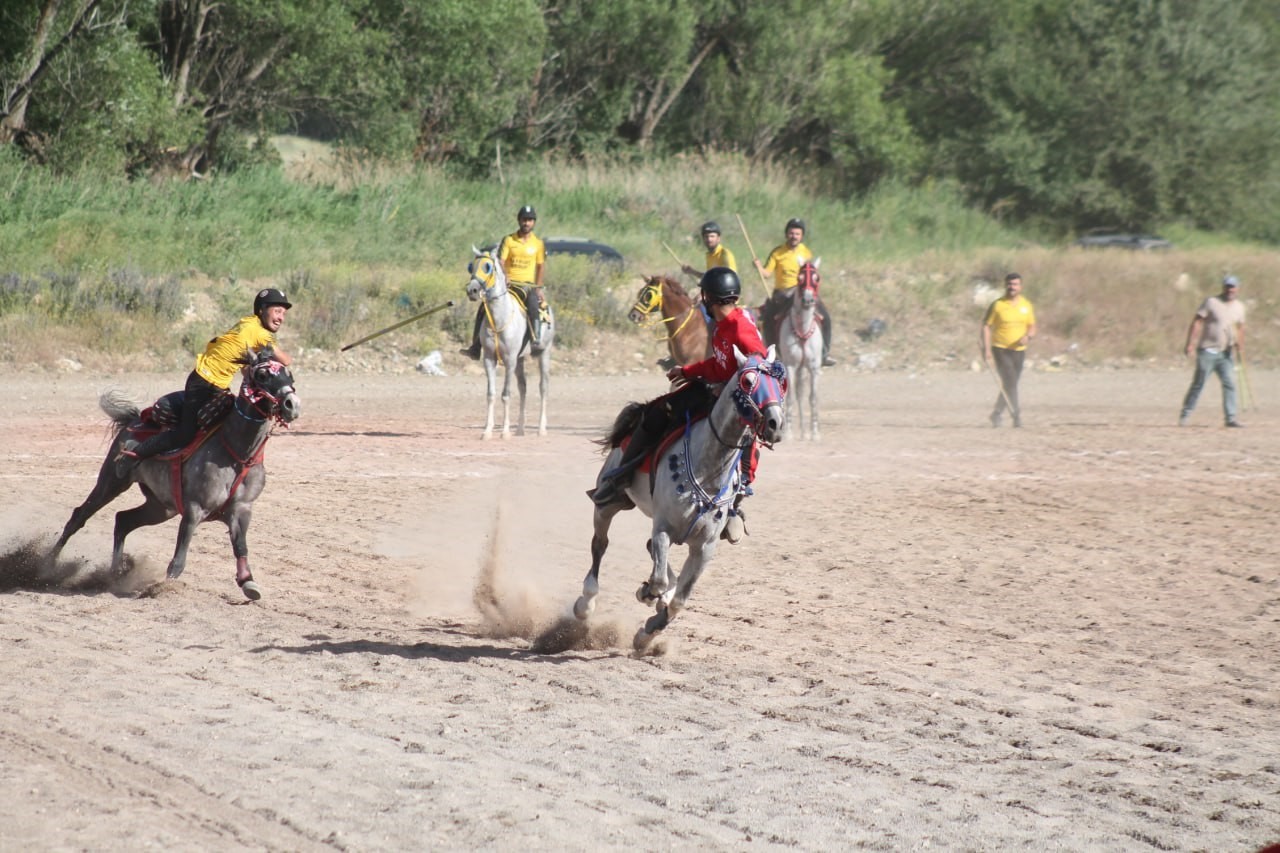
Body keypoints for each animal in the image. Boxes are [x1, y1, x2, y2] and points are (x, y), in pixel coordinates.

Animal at [468, 244, 552, 435]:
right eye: (471, 267)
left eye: (487, 267)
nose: (472, 290)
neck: (500, 317)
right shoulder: (489, 359)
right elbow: (491, 394)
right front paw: (487, 431)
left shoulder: (510, 359)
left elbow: (506, 394)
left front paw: (505, 432)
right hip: (520, 360)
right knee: (523, 387)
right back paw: (520, 428)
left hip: (544, 353)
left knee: (543, 387)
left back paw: (541, 428)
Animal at [576, 343, 783, 648]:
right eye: (748, 381)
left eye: (780, 383)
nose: (775, 423)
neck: (708, 469)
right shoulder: (663, 528)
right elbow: (658, 580)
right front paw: (648, 595)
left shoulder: (704, 548)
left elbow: (679, 600)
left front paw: (648, 633)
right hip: (609, 503)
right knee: (600, 544)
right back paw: (586, 602)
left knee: (648, 550)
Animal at [773, 261, 824, 438]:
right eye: (799, 278)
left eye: (817, 278)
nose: (808, 300)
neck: (802, 330)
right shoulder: (790, 366)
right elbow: (790, 398)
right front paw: (788, 433)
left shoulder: (814, 368)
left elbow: (813, 398)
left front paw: (815, 433)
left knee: (801, 394)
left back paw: (803, 431)